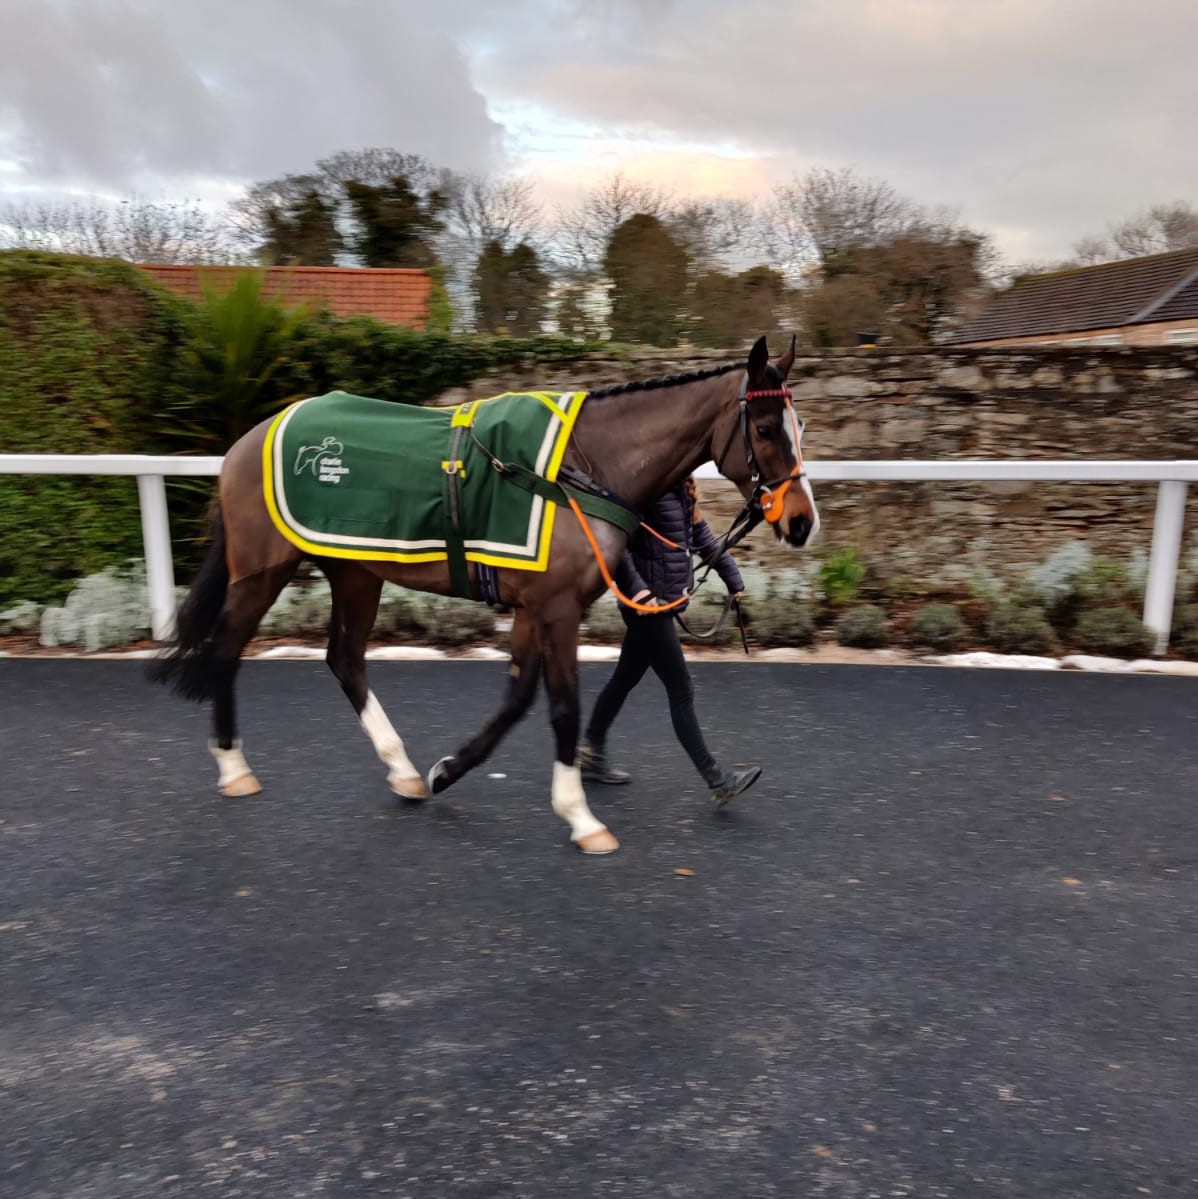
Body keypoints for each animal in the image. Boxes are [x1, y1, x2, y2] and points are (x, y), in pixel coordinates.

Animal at [149, 335, 820, 853]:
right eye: (765, 428)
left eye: (801, 426)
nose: (801, 521)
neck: (578, 470)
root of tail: (249, 439)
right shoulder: (556, 608)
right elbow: (562, 707)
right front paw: (582, 818)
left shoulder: (532, 608)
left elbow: (517, 700)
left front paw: (446, 771)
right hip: (263, 570)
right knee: (228, 645)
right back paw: (233, 767)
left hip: (356, 572)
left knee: (344, 659)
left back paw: (402, 772)